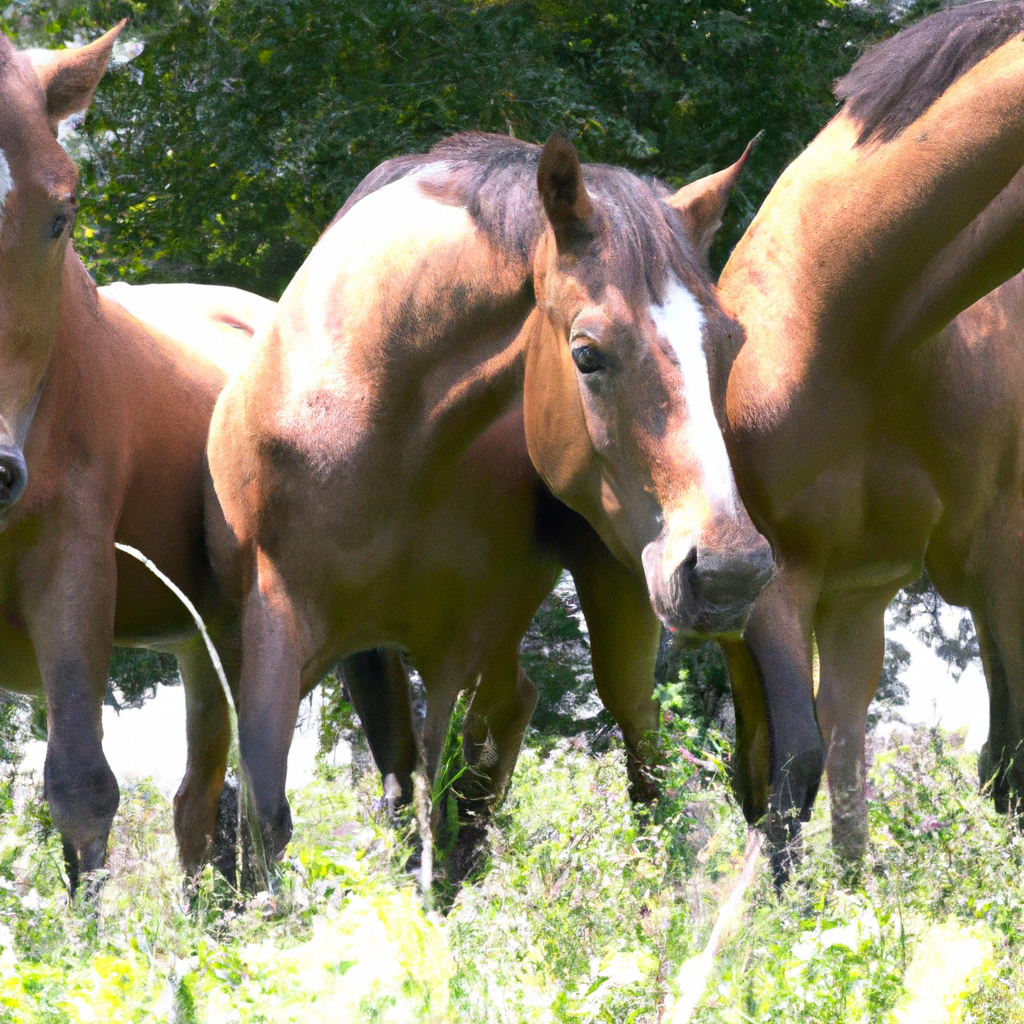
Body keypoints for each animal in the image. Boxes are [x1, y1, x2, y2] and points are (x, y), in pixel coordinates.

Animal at [207, 132, 770, 860]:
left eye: (732, 341)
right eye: (586, 354)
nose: (731, 574)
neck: (362, 416)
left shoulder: (464, 641)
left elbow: (451, 800)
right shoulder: (280, 629)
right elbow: (274, 813)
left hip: (610, 587)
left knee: (634, 745)